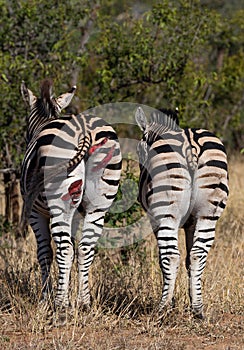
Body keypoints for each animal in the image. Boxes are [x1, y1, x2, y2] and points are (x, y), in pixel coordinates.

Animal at [20, 79, 121, 318]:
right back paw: (84, 301)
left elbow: (45, 252)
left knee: (64, 250)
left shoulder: (35, 213)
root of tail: (85, 130)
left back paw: (60, 303)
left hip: (59, 204)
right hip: (98, 206)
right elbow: (76, 249)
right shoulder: (76, 215)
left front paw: (45, 298)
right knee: (86, 248)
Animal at [135, 106, 229, 318]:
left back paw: (162, 309)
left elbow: (164, 259)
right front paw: (190, 299)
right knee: (197, 254)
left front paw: (171, 303)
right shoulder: (191, 223)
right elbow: (188, 258)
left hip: (166, 212)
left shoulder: (155, 220)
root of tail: (190, 144)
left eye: (138, 150)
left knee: (171, 255)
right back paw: (198, 309)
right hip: (208, 212)